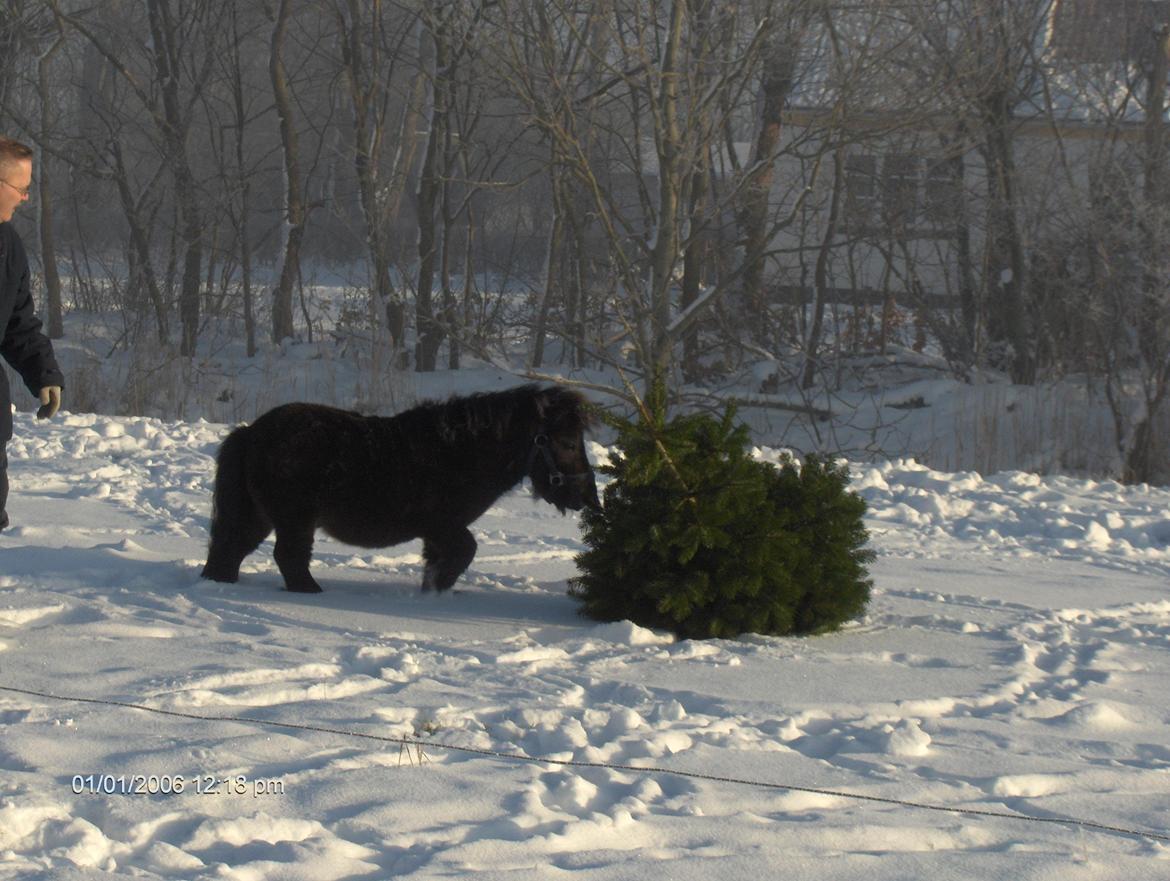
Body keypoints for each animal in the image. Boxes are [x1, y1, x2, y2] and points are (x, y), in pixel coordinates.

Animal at [201, 383, 599, 594]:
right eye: (567, 443)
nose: (589, 498)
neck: (458, 452)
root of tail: (251, 432)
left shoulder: (437, 534)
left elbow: (438, 566)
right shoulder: (443, 526)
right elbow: (464, 554)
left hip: (260, 518)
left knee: (229, 553)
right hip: (294, 520)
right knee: (289, 559)